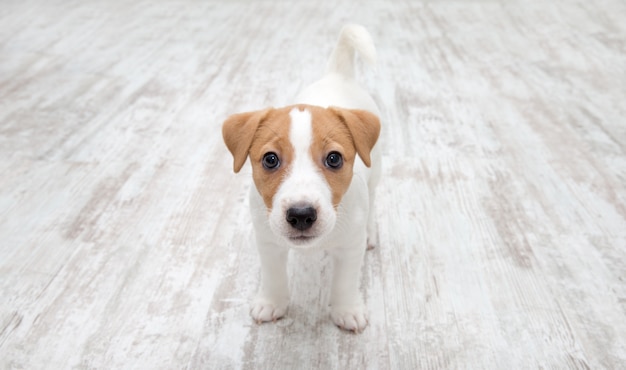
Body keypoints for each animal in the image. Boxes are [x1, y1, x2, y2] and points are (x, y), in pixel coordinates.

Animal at [223, 24, 380, 334]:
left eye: (334, 159)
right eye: (270, 159)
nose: (301, 215)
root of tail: (338, 75)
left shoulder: (349, 248)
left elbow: (345, 282)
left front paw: (347, 309)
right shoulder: (268, 243)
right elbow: (273, 275)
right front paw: (271, 302)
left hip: (376, 170)